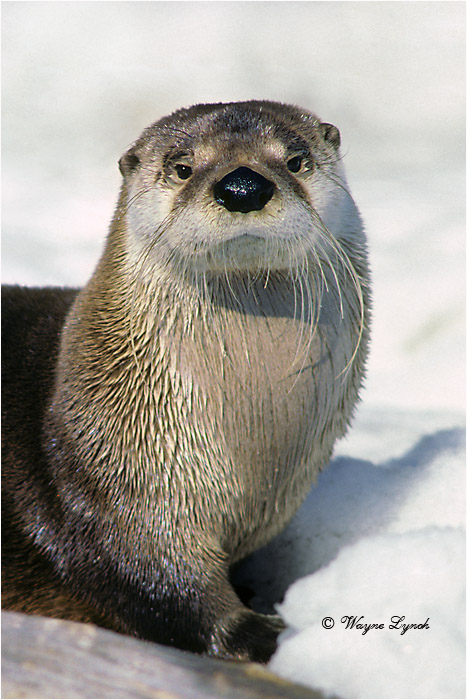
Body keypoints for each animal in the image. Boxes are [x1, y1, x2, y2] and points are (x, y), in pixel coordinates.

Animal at [2, 100, 370, 662]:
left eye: (296, 160)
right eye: (182, 167)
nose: (243, 186)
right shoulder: (118, 491)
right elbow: (158, 582)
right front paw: (261, 632)